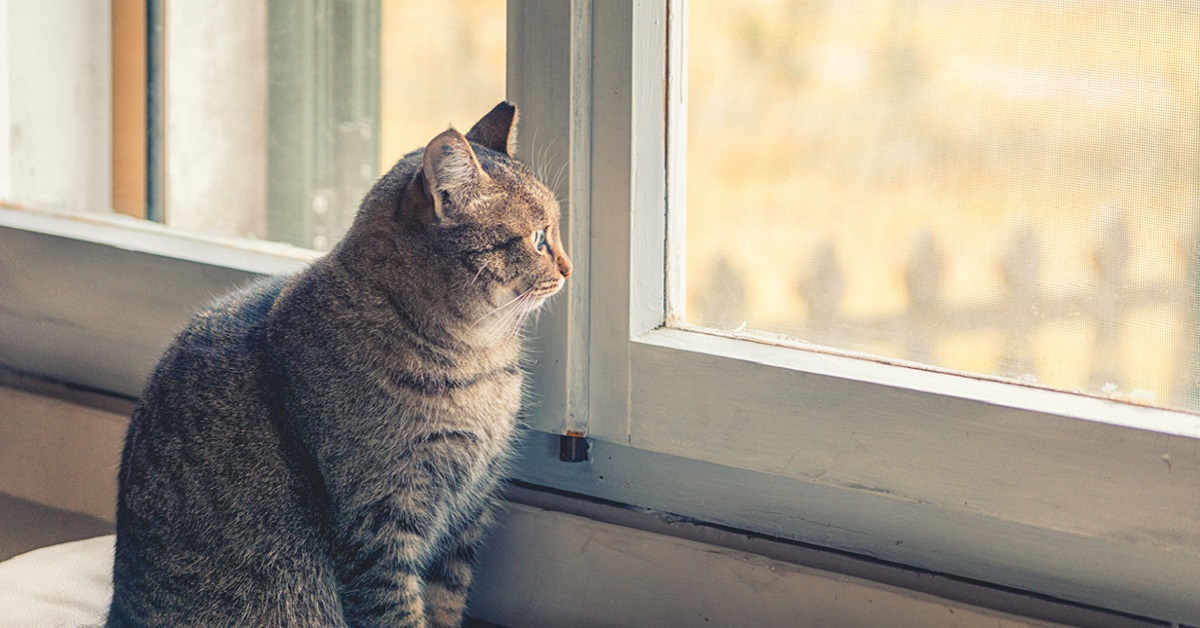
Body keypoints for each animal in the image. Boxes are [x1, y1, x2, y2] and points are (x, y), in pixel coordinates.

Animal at [109, 103, 571, 628]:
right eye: (538, 238)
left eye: (554, 230)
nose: (568, 267)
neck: (476, 362)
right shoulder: (377, 528)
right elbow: (398, 612)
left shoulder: (465, 516)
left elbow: (446, 601)